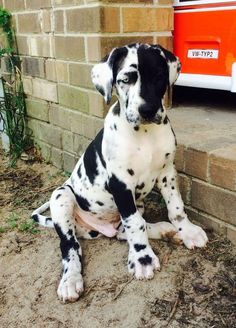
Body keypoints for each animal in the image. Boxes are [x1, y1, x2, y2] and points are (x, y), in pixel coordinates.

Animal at [31, 43, 208, 302]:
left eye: (159, 77)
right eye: (126, 79)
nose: (148, 109)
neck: (145, 133)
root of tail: (95, 229)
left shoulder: (167, 172)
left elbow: (176, 207)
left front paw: (187, 231)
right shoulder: (121, 184)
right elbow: (134, 223)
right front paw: (143, 259)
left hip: (135, 203)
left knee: (124, 232)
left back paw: (164, 229)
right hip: (62, 196)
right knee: (71, 246)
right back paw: (70, 280)